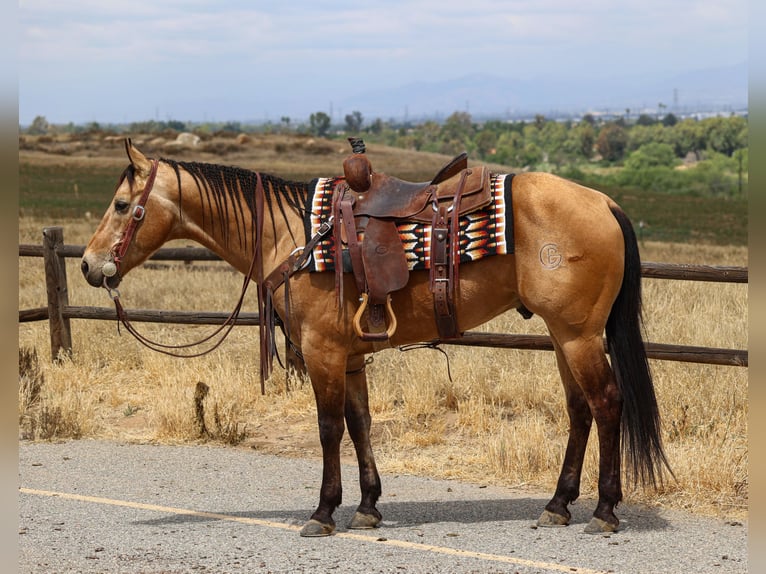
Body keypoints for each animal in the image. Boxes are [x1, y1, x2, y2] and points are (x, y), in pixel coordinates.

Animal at [81, 139, 670, 537]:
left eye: (119, 206)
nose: (88, 265)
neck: (293, 236)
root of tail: (603, 202)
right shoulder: (350, 357)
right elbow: (360, 424)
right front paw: (367, 507)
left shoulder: (322, 352)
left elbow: (327, 430)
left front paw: (323, 511)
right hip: (563, 335)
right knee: (580, 410)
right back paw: (558, 505)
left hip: (578, 335)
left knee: (607, 404)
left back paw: (604, 511)